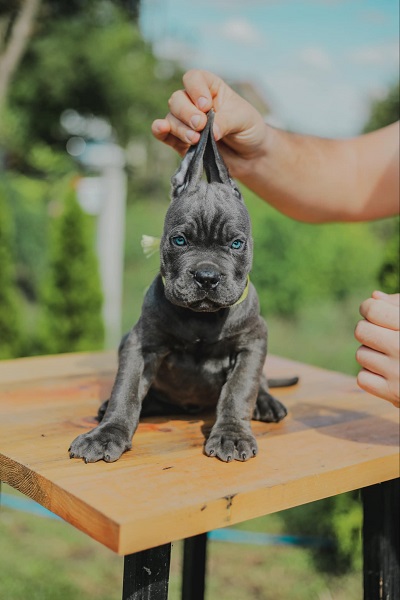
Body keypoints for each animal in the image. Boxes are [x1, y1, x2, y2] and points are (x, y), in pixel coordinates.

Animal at [69, 109, 296, 464]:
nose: (206, 276)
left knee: (261, 382)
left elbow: (239, 390)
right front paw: (107, 433)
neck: (201, 319)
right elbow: (126, 391)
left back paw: (266, 401)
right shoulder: (141, 344)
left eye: (236, 244)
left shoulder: (252, 342)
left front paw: (232, 434)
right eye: (180, 240)